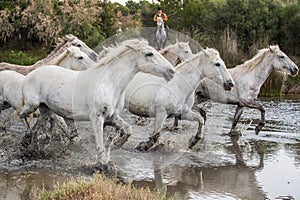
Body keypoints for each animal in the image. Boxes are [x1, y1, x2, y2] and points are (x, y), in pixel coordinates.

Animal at [18, 39, 176, 162]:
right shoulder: (97, 118)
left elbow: (128, 130)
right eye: (149, 54)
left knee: (37, 127)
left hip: (45, 109)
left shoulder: (112, 117)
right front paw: (102, 165)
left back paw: (33, 147)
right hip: (32, 105)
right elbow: (100, 146)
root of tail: (32, 73)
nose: (172, 71)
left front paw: (118, 143)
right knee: (21, 115)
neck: (110, 83)